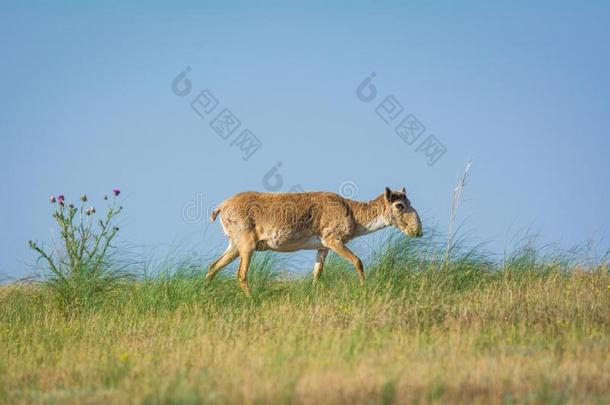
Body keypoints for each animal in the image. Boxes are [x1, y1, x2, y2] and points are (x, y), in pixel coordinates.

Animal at [207, 186, 420, 294]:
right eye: (400, 205)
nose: (418, 230)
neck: (352, 212)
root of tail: (222, 206)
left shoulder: (322, 248)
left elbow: (317, 273)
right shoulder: (334, 240)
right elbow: (358, 261)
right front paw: (363, 287)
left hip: (234, 246)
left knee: (213, 266)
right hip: (247, 245)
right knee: (241, 275)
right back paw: (252, 298)